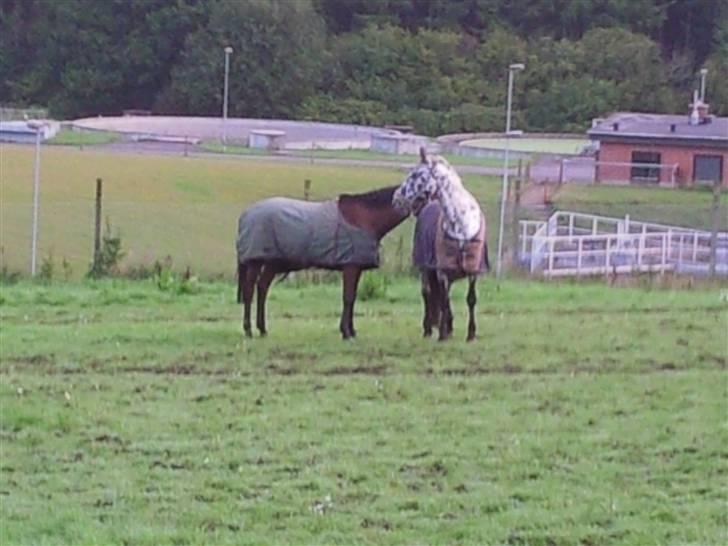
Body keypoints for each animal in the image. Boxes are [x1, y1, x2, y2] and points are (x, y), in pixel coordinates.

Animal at [235, 187, 404, 340]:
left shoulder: (356, 268)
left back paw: (262, 329)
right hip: (255, 262)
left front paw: (351, 331)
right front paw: (346, 332)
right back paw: (248, 330)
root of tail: (246, 214)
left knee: (262, 288)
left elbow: (353, 298)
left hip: (272, 263)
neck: (366, 217)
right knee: (249, 291)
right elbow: (348, 298)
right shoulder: (351, 267)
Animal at [392, 149, 490, 340]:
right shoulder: (443, 270)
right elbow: (443, 301)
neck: (462, 225)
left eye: (415, 174)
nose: (396, 200)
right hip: (425, 269)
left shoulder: (472, 270)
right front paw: (443, 335)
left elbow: (470, 299)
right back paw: (429, 329)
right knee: (428, 293)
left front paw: (471, 334)